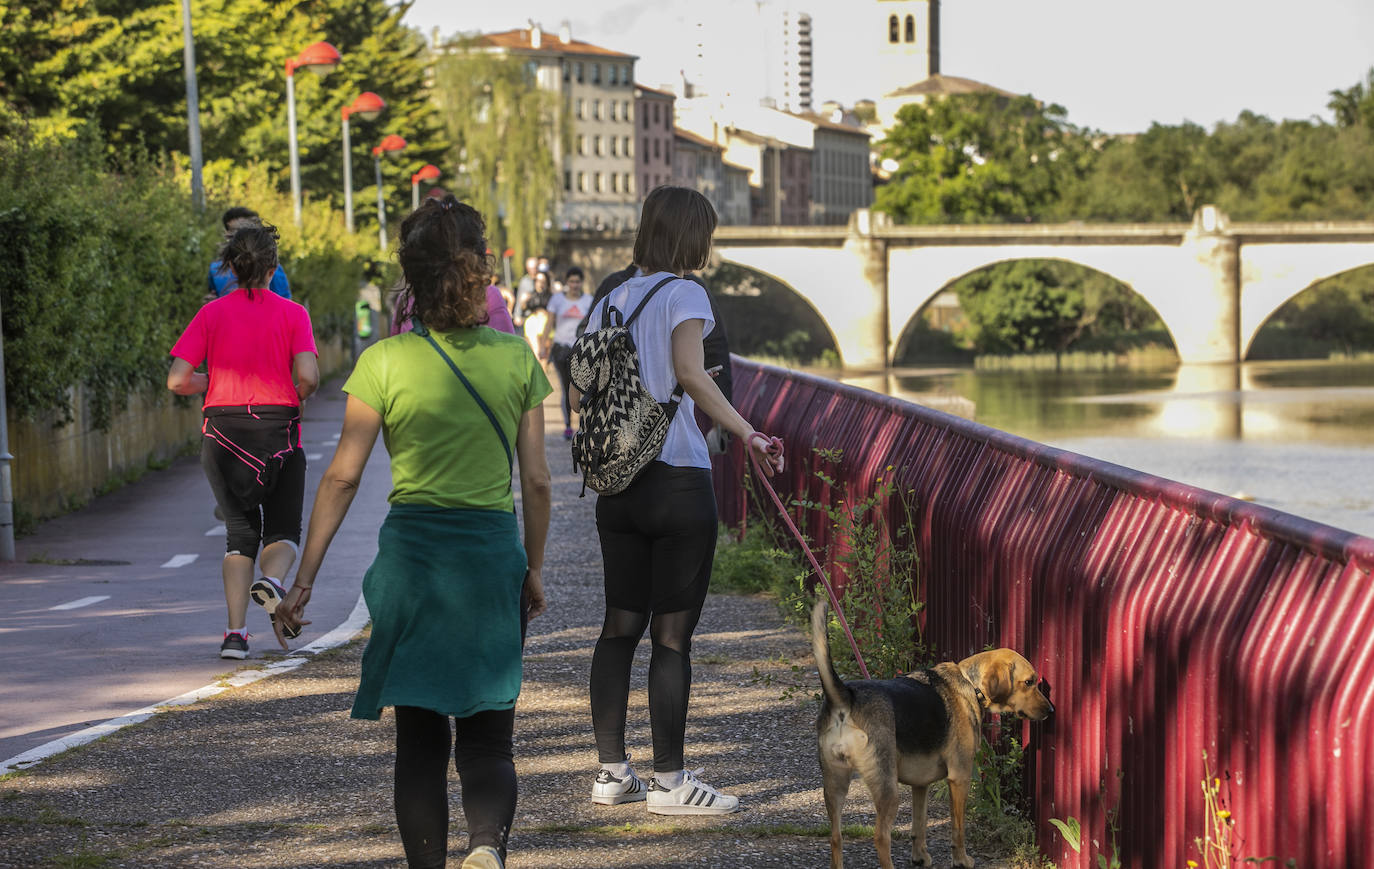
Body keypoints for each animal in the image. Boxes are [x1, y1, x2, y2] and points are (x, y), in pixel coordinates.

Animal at [807, 599, 1055, 869]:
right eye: (1029, 682)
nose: (1051, 710)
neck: (971, 684)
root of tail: (846, 697)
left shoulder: (920, 785)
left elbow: (919, 826)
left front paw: (920, 857)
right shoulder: (960, 778)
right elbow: (958, 830)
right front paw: (961, 860)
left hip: (834, 784)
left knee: (835, 838)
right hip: (887, 789)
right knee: (881, 837)